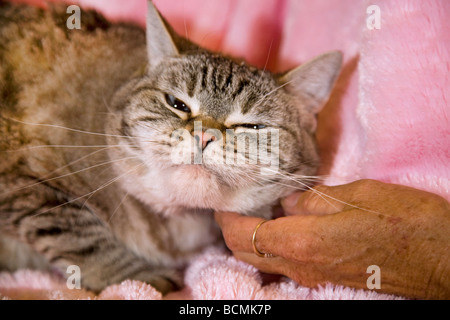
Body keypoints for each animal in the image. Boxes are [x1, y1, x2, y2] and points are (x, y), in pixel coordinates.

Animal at [0, 0, 342, 296]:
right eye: (177, 104)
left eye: (251, 127)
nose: (203, 136)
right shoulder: (25, 185)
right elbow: (81, 235)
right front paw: (140, 277)